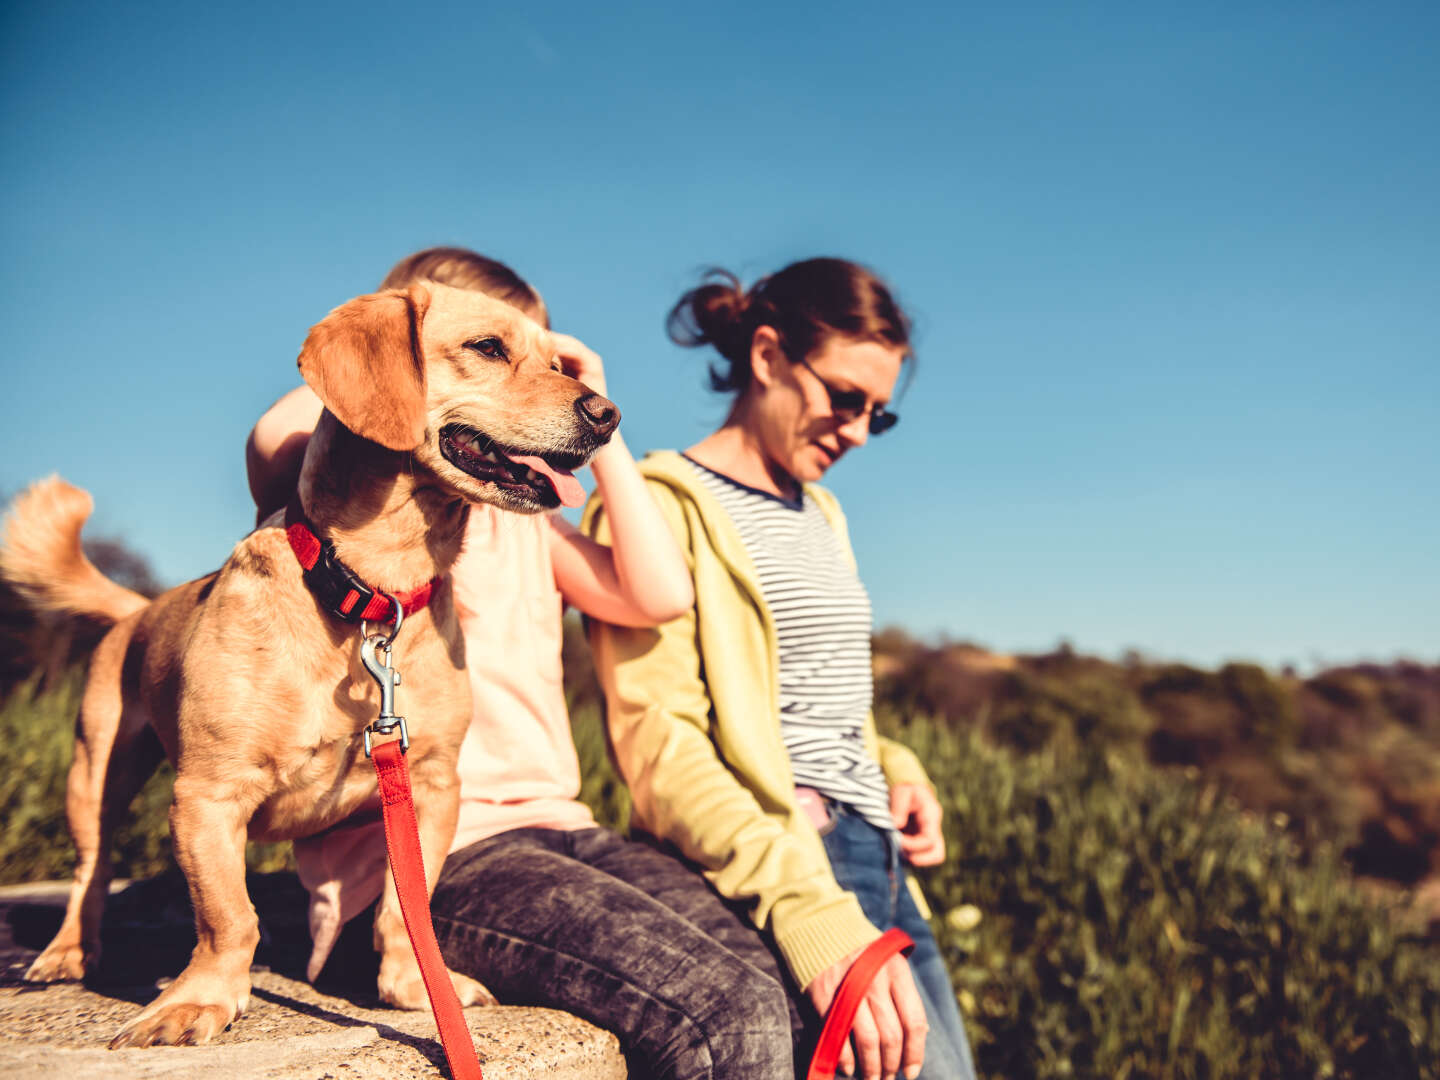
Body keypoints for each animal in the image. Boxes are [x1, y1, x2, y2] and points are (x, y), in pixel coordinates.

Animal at [0, 283, 619, 1054]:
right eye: (488, 348)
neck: (373, 591)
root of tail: (140, 608)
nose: (608, 414)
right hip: (93, 777)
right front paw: (199, 999)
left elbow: (401, 907)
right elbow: (227, 916)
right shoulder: (207, 795)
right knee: (93, 871)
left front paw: (412, 987)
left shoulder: (431, 787)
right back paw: (66, 953)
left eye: (558, 362)